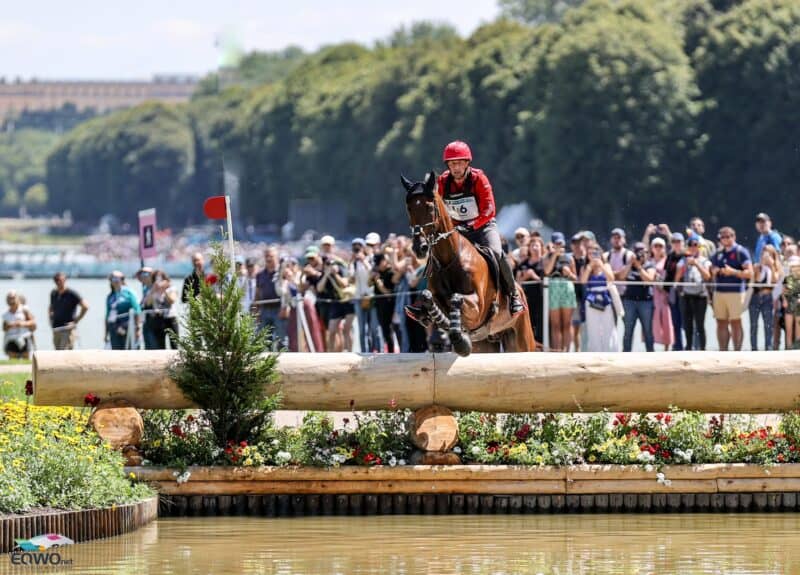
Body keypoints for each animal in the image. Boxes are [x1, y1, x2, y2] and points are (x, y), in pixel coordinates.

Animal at [400, 169, 536, 356]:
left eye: (429, 207)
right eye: (409, 208)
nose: (419, 247)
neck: (449, 260)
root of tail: (522, 292)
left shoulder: (478, 306)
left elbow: (456, 298)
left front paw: (460, 341)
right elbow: (428, 297)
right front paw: (442, 320)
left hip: (521, 339)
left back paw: (515, 304)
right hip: (485, 344)